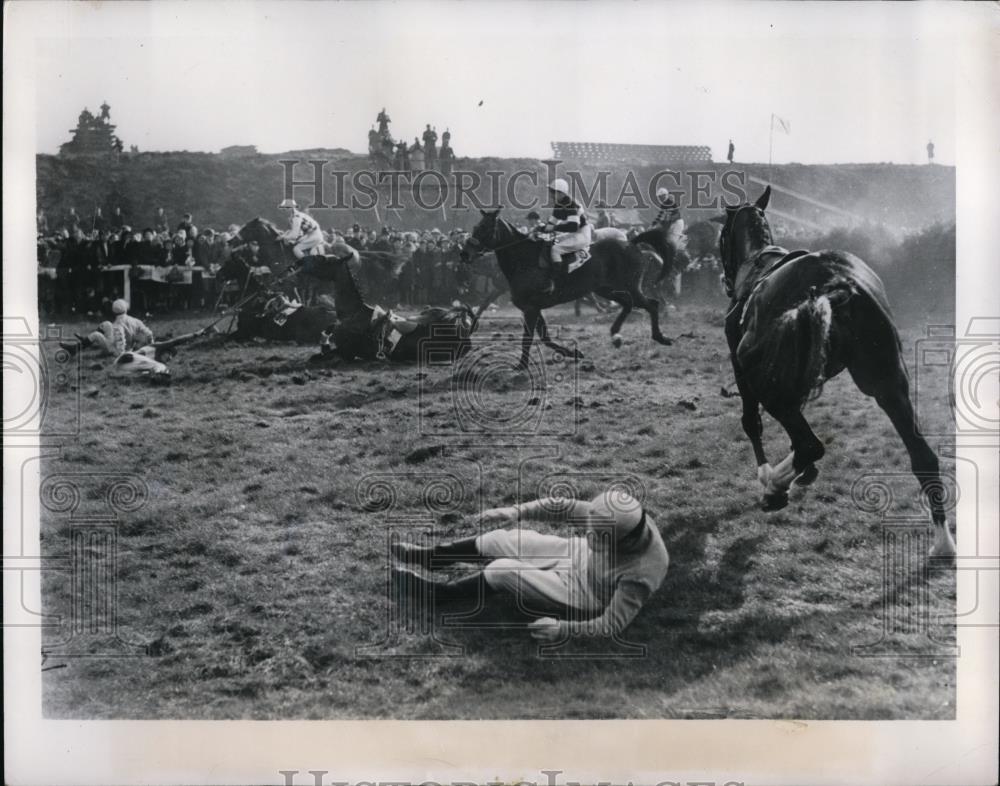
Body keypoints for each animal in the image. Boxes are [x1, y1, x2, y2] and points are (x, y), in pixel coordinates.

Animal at [460, 208, 672, 368]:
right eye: (475, 227)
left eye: (484, 228)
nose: (464, 254)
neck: (524, 260)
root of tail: (630, 242)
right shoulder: (534, 308)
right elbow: (544, 337)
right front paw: (574, 353)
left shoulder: (530, 308)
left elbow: (528, 338)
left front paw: (521, 365)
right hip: (607, 289)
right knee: (629, 303)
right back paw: (616, 334)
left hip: (629, 287)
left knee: (651, 304)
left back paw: (660, 337)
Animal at [716, 185, 956, 556]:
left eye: (722, 235)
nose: (726, 281)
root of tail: (837, 284)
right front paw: (800, 473)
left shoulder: (741, 367)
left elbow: (752, 423)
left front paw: (772, 476)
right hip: (887, 383)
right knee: (923, 457)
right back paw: (943, 542)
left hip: (766, 380)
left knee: (809, 444)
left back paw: (774, 486)